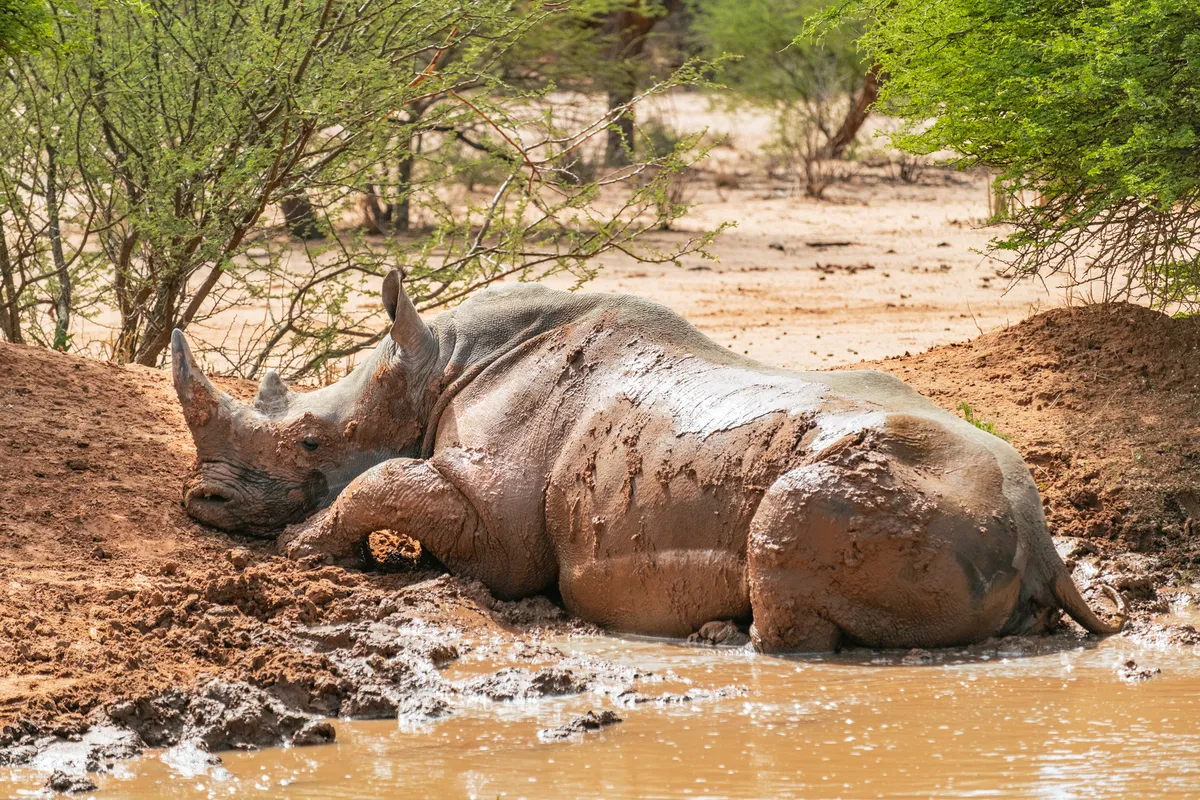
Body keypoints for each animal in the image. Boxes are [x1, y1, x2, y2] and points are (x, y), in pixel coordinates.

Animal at [171, 268, 1123, 652]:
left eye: (309, 441)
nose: (202, 501)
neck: (435, 365)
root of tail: (1043, 539)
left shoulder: (500, 532)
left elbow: (387, 481)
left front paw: (300, 551)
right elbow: (395, 482)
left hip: (908, 493)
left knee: (789, 520)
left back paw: (726, 637)